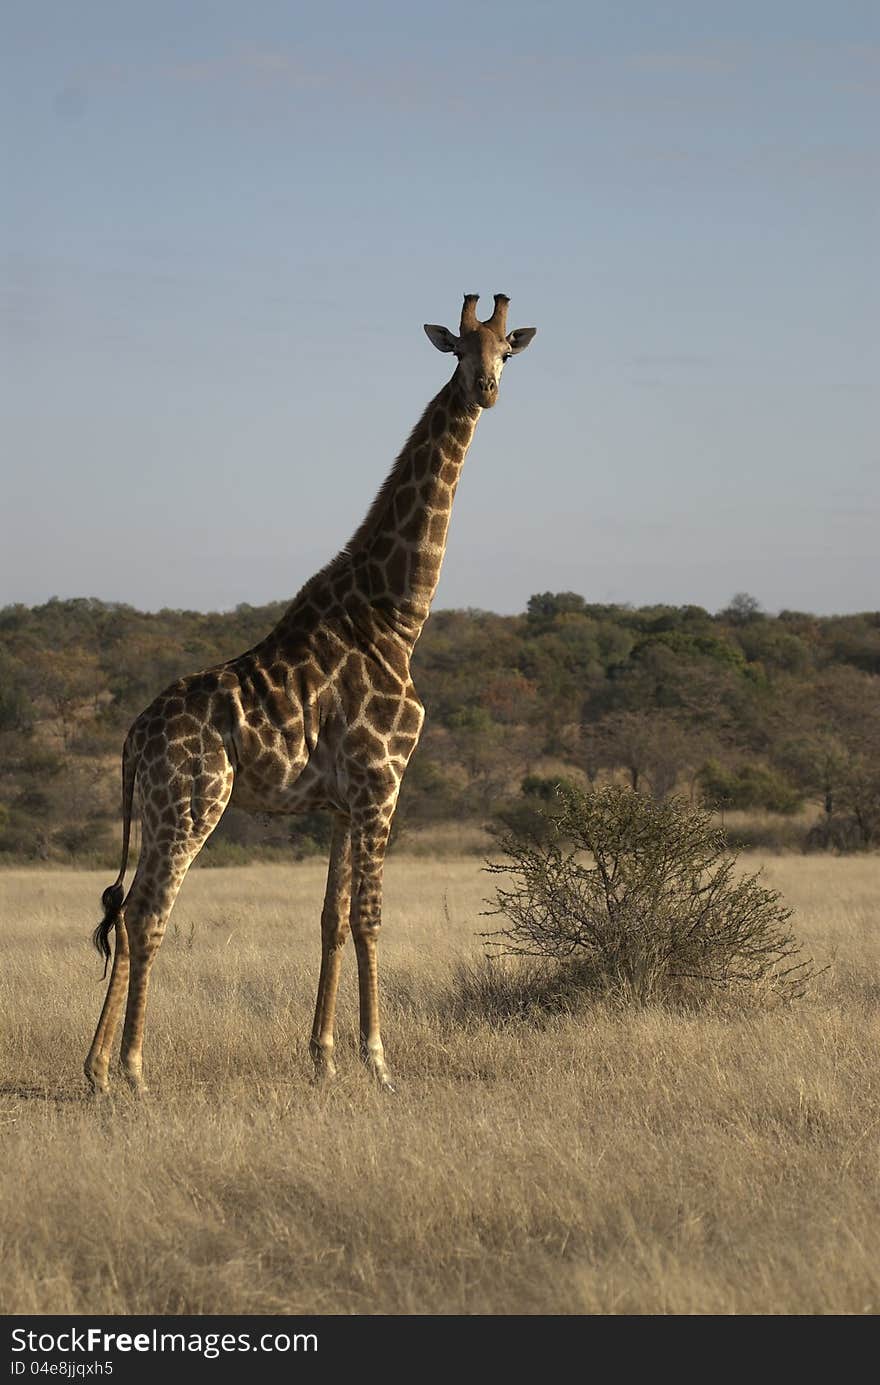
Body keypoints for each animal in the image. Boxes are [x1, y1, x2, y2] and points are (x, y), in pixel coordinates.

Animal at [84, 292, 537, 1091]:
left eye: (505, 350)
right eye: (460, 351)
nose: (485, 390)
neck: (397, 613)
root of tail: (133, 737)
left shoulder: (341, 802)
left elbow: (330, 917)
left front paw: (322, 1059)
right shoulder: (383, 782)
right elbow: (371, 917)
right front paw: (379, 1061)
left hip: (159, 809)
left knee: (125, 908)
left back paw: (99, 1069)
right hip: (192, 804)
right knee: (146, 913)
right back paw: (135, 1069)